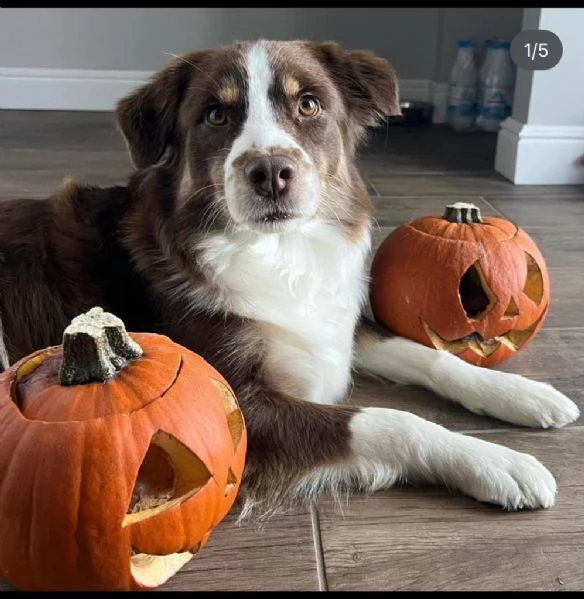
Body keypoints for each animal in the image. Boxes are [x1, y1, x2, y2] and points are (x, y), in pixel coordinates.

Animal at [0, 41, 576, 520]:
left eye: (309, 105)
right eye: (215, 114)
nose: (272, 172)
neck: (278, 251)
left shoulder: (331, 324)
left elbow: (427, 352)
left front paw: (521, 393)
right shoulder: (229, 406)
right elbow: (388, 418)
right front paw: (498, 461)